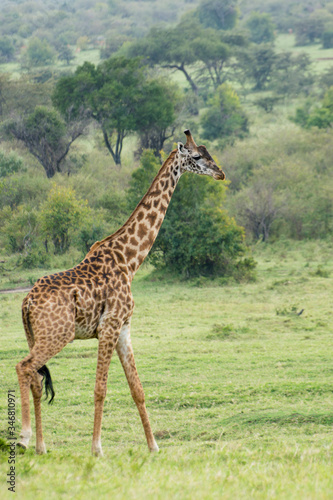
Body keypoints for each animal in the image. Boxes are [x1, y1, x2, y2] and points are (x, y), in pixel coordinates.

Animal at [14, 128, 223, 454]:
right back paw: (23, 438)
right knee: (23, 367)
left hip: (34, 336)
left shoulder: (124, 327)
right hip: (57, 334)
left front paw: (153, 447)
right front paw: (97, 449)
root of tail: (26, 302)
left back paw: (41, 446)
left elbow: (137, 388)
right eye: (198, 156)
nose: (221, 173)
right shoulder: (109, 326)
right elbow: (100, 388)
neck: (130, 259)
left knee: (35, 378)